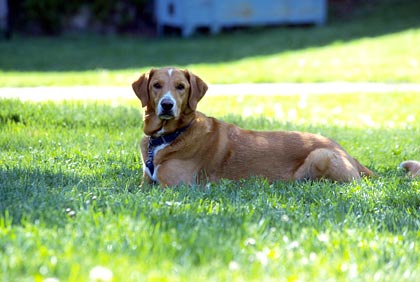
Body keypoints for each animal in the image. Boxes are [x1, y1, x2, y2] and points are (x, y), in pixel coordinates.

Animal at [132, 67, 374, 187]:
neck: (168, 135)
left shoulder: (173, 186)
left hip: (320, 156)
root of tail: (348, 154)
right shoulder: (146, 182)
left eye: (181, 87)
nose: (167, 104)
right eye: (156, 85)